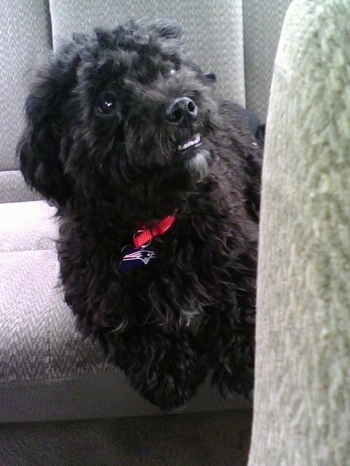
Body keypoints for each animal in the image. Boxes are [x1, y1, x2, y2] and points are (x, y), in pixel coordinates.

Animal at [17, 20, 262, 412]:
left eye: (171, 68)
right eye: (106, 102)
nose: (183, 107)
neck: (151, 225)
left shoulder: (240, 251)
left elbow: (244, 302)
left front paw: (247, 364)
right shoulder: (90, 287)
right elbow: (127, 323)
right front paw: (170, 372)